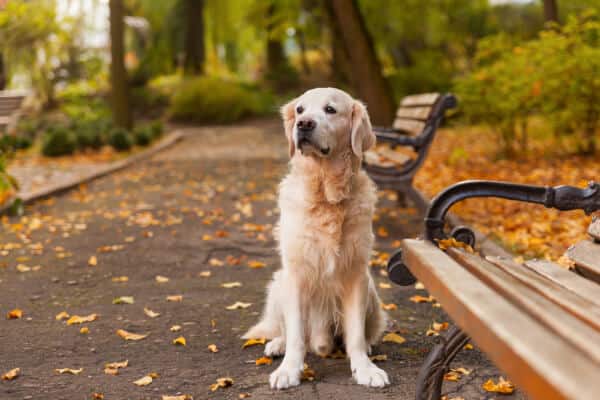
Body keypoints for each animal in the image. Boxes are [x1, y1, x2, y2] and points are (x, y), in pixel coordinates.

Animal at [244, 88, 390, 390]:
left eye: (330, 109)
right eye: (300, 110)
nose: (304, 124)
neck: (325, 194)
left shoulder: (356, 274)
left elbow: (355, 334)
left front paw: (364, 369)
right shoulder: (295, 274)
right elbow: (296, 335)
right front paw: (289, 370)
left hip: (371, 290)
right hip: (278, 284)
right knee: (285, 330)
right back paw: (277, 344)